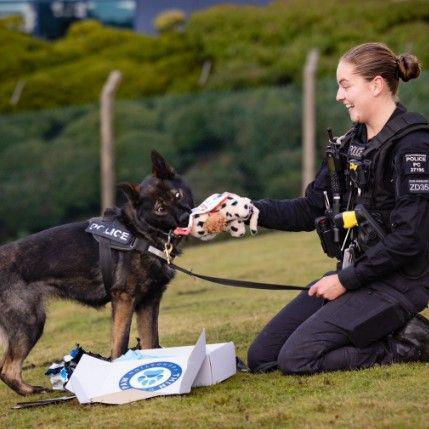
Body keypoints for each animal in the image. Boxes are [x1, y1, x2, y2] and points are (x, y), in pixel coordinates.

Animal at [0, 150, 192, 394]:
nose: (186, 218)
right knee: (8, 369)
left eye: (177, 194)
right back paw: (32, 391)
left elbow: (151, 342)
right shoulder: (124, 301)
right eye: (159, 209)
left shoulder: (149, 302)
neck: (139, 232)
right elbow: (120, 343)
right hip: (30, 323)